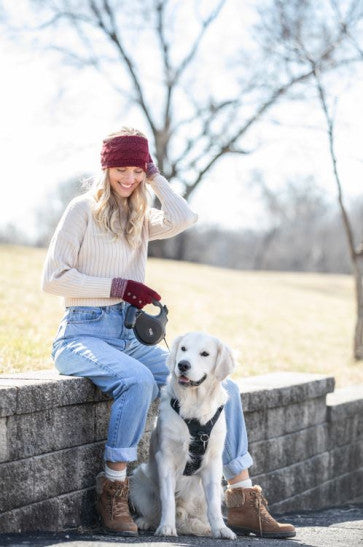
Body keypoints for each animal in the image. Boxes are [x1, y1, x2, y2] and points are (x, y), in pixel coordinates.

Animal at [131, 330, 239, 540]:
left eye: (205, 354)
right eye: (183, 349)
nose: (183, 365)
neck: (193, 403)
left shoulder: (213, 462)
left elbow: (214, 504)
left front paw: (221, 529)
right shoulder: (166, 457)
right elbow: (167, 499)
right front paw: (166, 527)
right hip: (139, 477)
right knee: (153, 510)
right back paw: (146, 522)